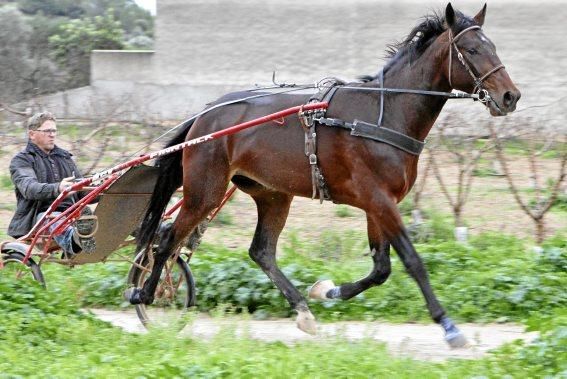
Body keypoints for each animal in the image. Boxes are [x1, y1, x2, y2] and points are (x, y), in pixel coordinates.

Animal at [126, 2, 520, 348]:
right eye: (471, 49)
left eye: (493, 46)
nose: (510, 96)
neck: (384, 114)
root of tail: (205, 116)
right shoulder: (379, 199)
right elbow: (412, 261)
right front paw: (449, 326)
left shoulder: (377, 204)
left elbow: (380, 269)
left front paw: (326, 290)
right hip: (204, 191)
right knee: (167, 241)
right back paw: (146, 294)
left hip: (272, 194)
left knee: (261, 251)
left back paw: (303, 311)